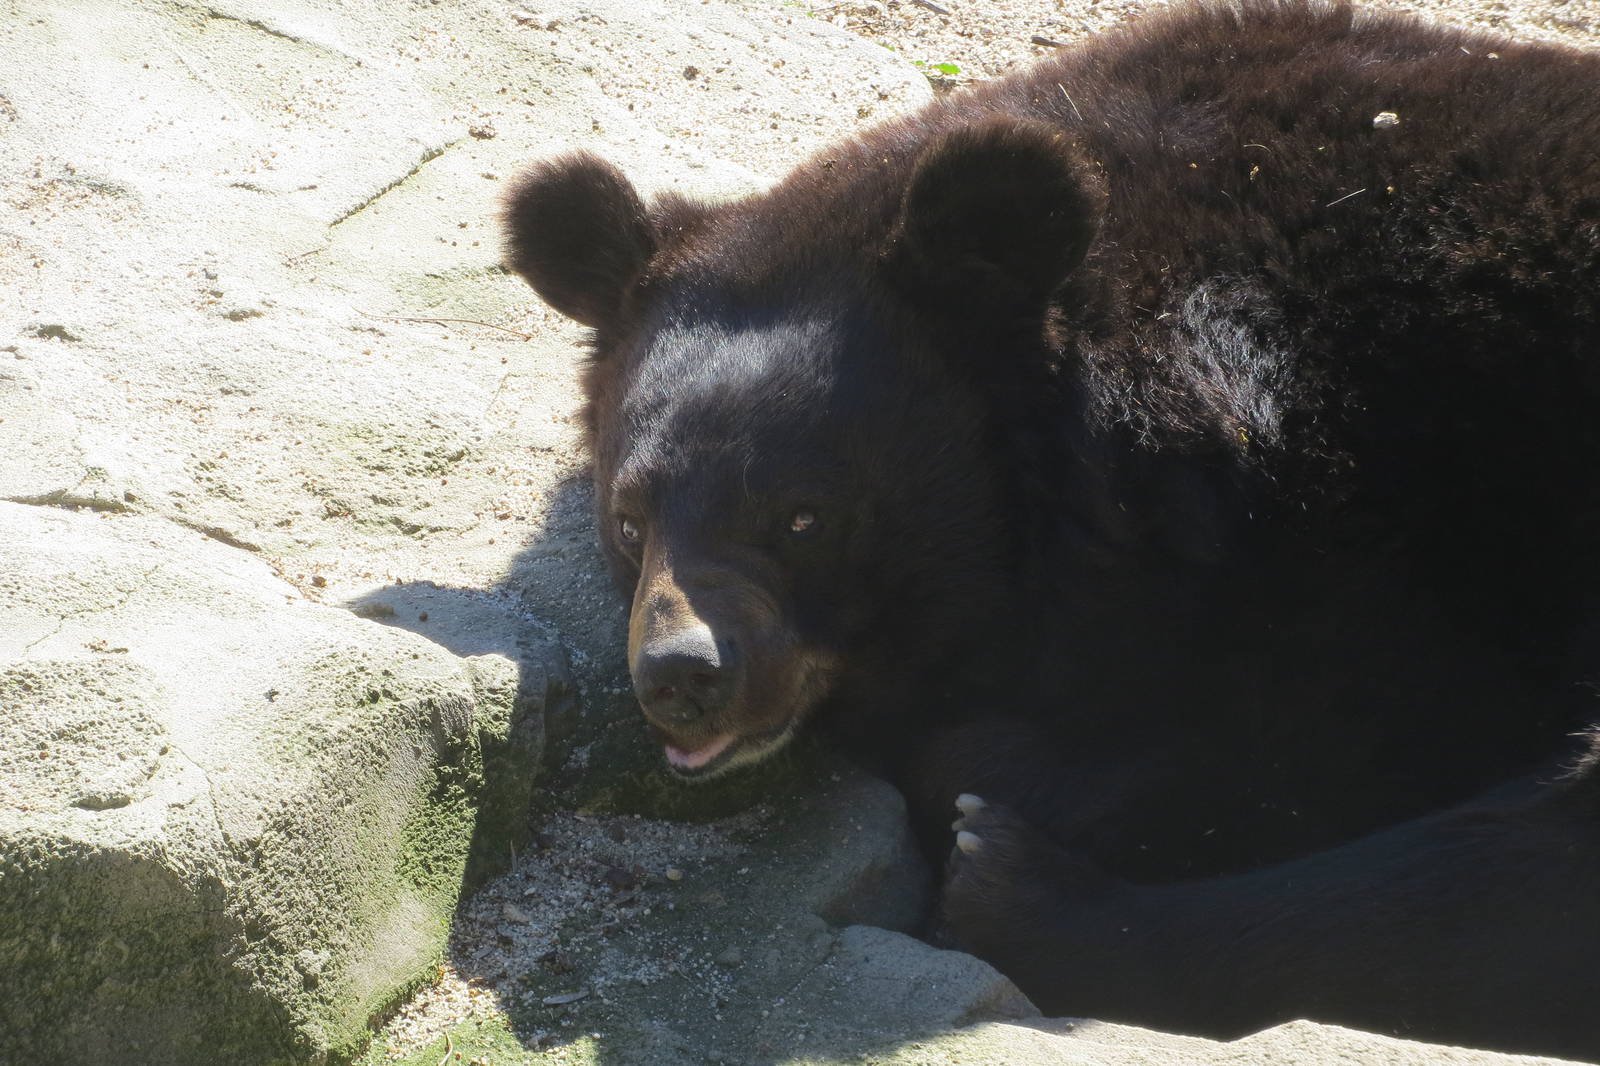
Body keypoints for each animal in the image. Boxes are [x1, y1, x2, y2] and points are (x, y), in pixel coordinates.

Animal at [502, 1, 1600, 1058]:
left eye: (805, 518)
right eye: (629, 520)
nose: (682, 678)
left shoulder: (1388, 522)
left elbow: (1321, 723)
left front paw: (989, 782)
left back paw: (1018, 886)